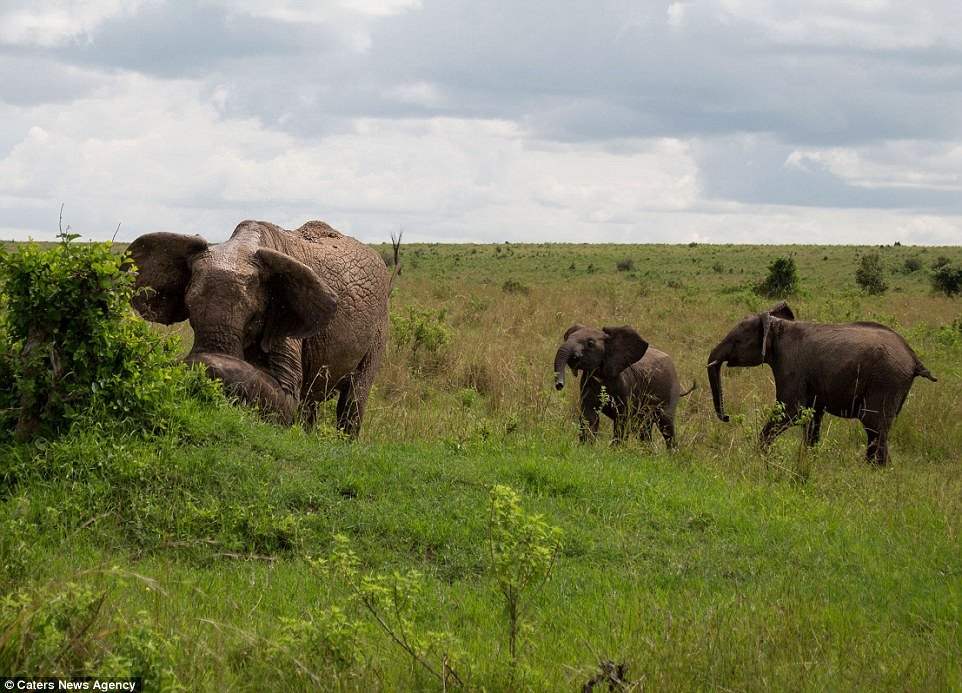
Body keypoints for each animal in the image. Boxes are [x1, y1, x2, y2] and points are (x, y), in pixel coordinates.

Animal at [129, 219, 396, 436]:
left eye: (254, 318)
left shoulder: (284, 319)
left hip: (380, 327)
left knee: (353, 399)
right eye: (190, 313)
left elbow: (288, 396)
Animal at [552, 324, 692, 446]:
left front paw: (615, 450)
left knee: (666, 426)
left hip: (670, 392)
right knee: (644, 429)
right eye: (566, 338)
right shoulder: (587, 383)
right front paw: (586, 447)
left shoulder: (626, 386)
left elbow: (622, 417)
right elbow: (589, 416)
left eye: (590, 343)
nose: (559, 385)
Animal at [700, 298, 932, 464]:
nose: (727, 417)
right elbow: (812, 419)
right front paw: (809, 461)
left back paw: (875, 472)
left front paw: (759, 456)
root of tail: (913, 358)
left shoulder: (790, 364)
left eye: (737, 341)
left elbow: (791, 411)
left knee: (874, 427)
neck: (777, 326)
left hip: (886, 381)